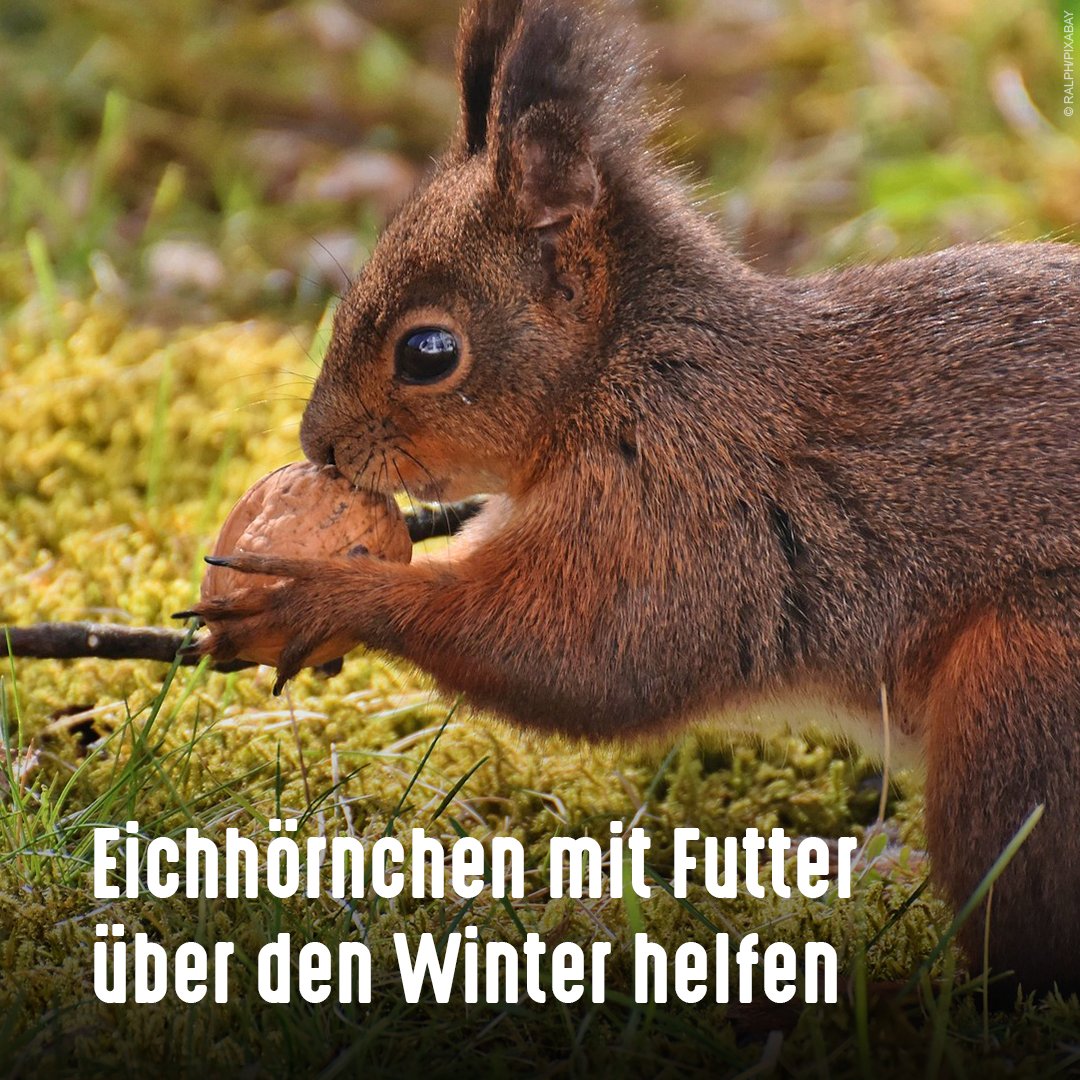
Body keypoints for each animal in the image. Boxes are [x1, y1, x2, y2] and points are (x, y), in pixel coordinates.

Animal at [194, 0, 1080, 994]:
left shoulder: (678, 502)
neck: (622, 373)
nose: (319, 445)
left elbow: (583, 654)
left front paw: (313, 595)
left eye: (428, 352)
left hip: (1025, 692)